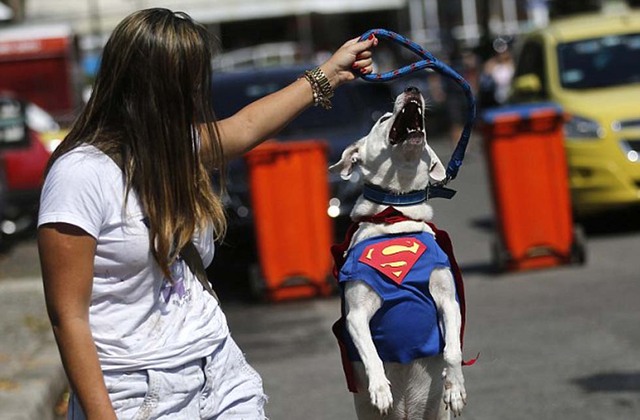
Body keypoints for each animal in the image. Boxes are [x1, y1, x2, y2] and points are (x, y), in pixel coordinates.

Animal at [332, 87, 468, 418]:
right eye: (383, 119)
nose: (412, 89)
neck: (395, 214)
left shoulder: (447, 299)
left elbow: (452, 350)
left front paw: (455, 387)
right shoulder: (356, 314)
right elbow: (371, 352)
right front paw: (380, 388)